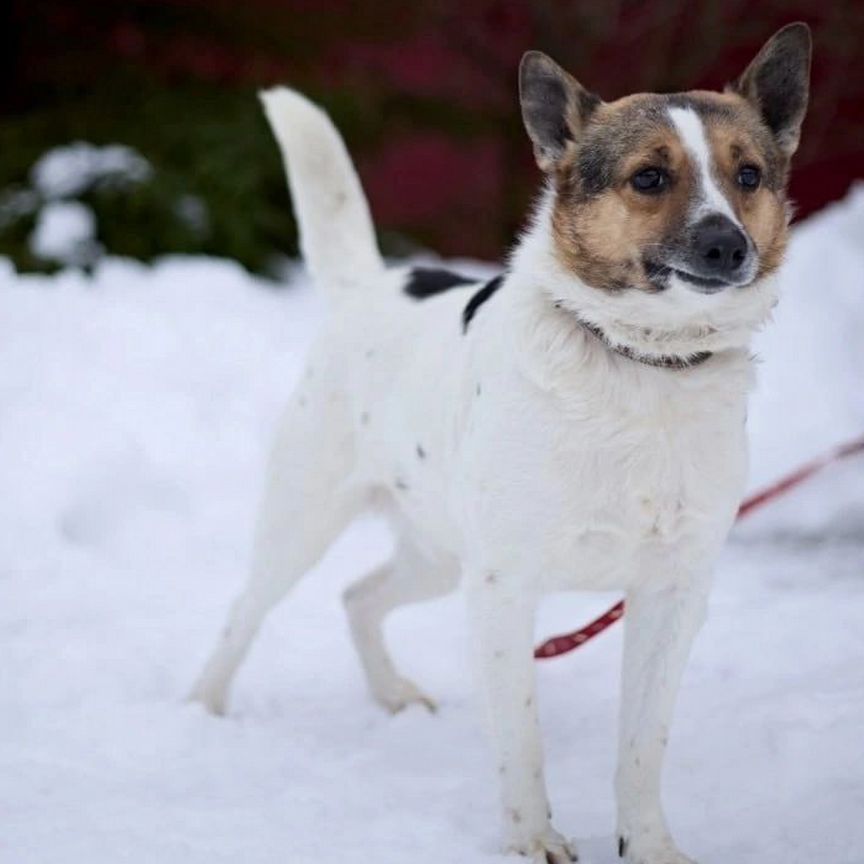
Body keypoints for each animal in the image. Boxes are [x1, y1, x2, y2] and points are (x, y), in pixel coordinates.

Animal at [189, 25, 808, 864]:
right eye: (649, 177)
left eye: (749, 176)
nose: (727, 246)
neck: (639, 365)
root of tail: (369, 286)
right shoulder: (505, 589)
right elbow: (522, 738)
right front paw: (530, 836)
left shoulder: (672, 593)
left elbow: (642, 746)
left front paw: (647, 842)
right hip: (308, 519)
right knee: (244, 611)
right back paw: (201, 708)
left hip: (440, 552)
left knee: (358, 596)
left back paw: (392, 693)